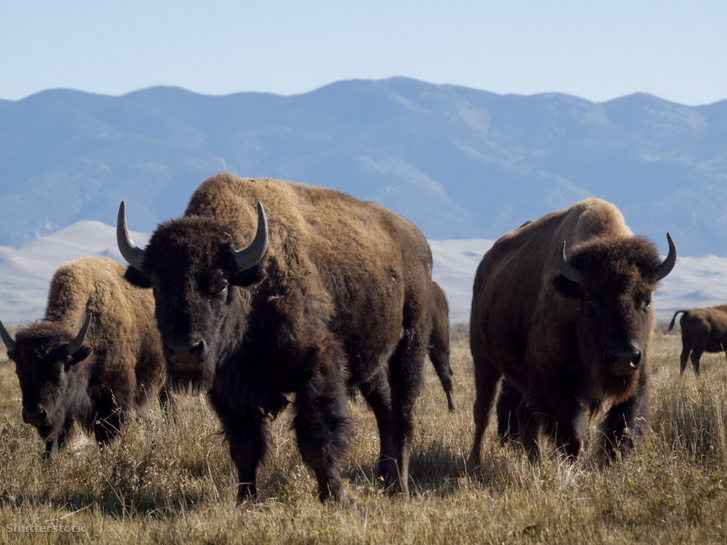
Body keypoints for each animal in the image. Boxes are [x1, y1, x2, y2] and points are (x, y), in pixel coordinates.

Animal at [0, 258, 168, 452]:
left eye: (59, 370)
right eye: (18, 371)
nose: (34, 415)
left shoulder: (113, 404)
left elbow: (106, 439)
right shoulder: (63, 411)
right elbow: (54, 443)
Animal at [115, 172, 432, 504]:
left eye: (221, 284)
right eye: (156, 285)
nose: (183, 351)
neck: (254, 287)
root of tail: (417, 239)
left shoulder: (318, 368)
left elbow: (318, 438)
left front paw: (339, 499)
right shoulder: (229, 390)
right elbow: (245, 448)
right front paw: (246, 500)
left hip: (412, 342)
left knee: (403, 416)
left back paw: (400, 488)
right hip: (372, 364)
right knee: (385, 412)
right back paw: (385, 481)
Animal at [470, 198, 680, 462]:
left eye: (646, 301)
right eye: (590, 300)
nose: (623, 358)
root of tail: (485, 266)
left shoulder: (637, 378)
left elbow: (621, 435)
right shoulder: (556, 385)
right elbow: (571, 437)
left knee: (522, 413)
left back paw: (534, 461)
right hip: (484, 360)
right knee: (483, 411)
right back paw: (475, 462)